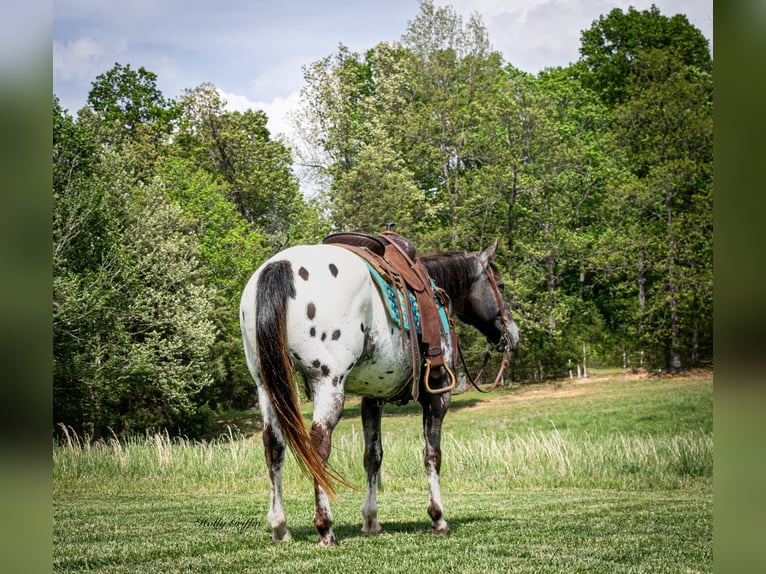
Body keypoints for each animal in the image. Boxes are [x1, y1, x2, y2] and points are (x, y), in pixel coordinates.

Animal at [240, 238, 520, 548]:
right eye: (501, 285)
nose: (512, 333)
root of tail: (281, 266)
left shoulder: (371, 398)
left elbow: (372, 456)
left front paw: (371, 519)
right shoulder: (437, 396)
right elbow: (432, 454)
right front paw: (438, 518)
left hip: (266, 385)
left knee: (273, 446)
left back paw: (280, 526)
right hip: (328, 383)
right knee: (319, 445)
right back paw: (325, 527)